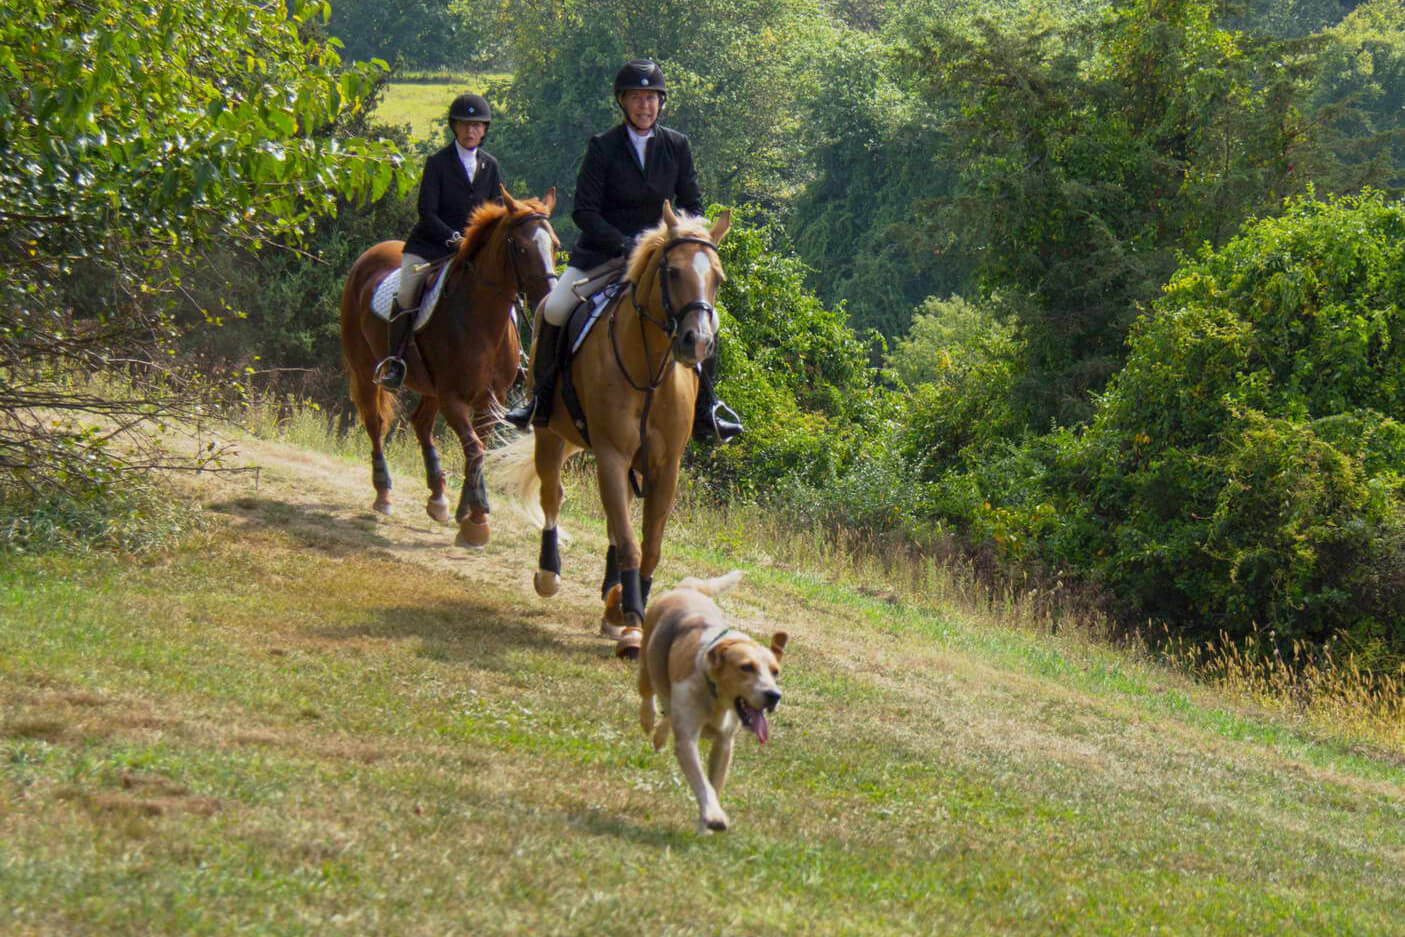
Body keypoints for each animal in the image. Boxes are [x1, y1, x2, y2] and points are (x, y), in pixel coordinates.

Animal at [340, 185, 559, 545]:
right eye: (522, 247)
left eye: (554, 245)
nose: (547, 299)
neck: (482, 321)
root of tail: (370, 254)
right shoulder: (454, 399)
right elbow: (475, 448)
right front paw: (478, 519)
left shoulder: (490, 400)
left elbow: (477, 448)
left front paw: (465, 511)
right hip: (365, 367)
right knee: (375, 422)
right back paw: (384, 493)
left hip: (430, 387)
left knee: (421, 424)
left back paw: (438, 498)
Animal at [497, 205, 730, 660]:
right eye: (672, 271)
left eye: (717, 277)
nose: (696, 343)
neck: (650, 369)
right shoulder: (611, 454)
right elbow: (628, 539)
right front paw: (633, 625)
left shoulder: (665, 467)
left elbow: (649, 544)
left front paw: (627, 610)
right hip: (550, 434)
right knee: (553, 497)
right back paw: (550, 575)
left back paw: (612, 599)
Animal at [640, 567, 792, 831]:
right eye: (746, 667)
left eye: (775, 671)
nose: (774, 696)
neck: (717, 698)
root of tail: (688, 589)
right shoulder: (687, 740)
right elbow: (702, 783)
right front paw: (713, 816)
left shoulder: (724, 744)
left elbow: (714, 784)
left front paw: (704, 827)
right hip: (647, 664)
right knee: (648, 693)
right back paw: (648, 719)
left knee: (668, 711)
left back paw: (659, 737)